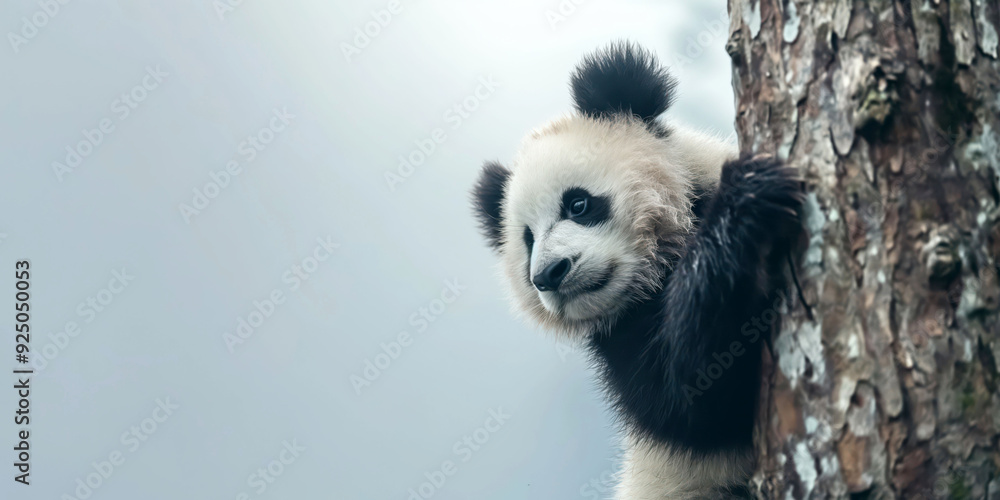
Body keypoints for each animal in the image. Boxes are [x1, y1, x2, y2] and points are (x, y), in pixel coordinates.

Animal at [471, 42, 805, 499]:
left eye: (577, 204)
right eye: (528, 240)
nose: (549, 274)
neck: (658, 272)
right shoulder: (621, 343)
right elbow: (694, 395)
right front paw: (746, 202)